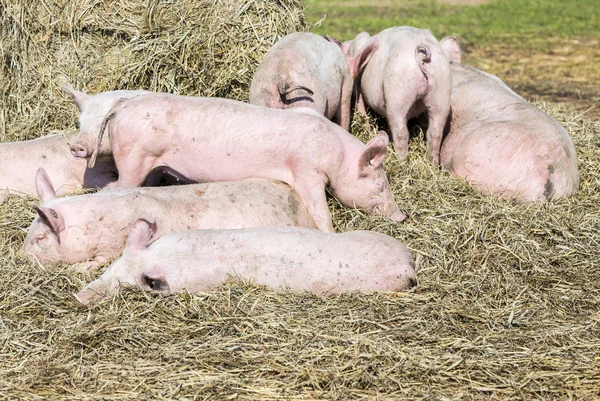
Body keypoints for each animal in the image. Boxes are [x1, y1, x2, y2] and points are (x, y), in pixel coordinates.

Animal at [21, 167, 316, 270]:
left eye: (41, 237)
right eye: (28, 232)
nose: (20, 256)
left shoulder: (111, 247)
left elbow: (100, 260)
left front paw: (78, 269)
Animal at [346, 27, 450, 164]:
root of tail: (422, 57)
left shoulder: (358, 86)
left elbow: (362, 110)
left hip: (397, 92)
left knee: (401, 132)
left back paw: (401, 161)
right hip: (441, 89)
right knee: (435, 132)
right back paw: (431, 163)